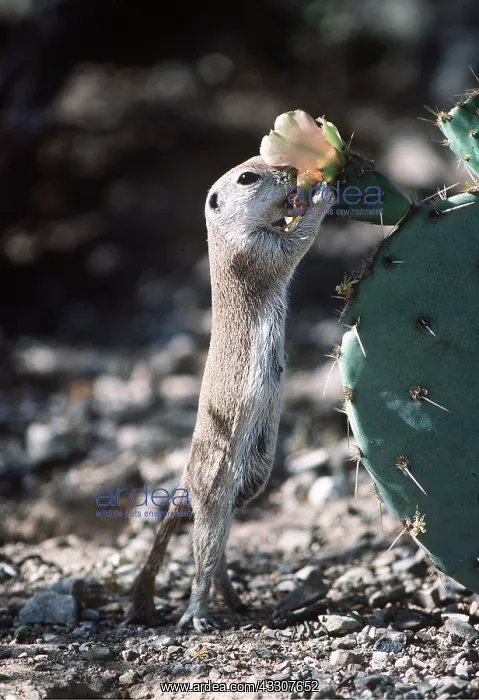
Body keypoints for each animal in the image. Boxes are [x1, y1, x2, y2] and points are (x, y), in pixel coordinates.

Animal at [127, 156, 332, 633]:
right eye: (248, 176)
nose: (292, 170)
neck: (224, 235)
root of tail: (185, 483)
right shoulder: (254, 251)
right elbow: (294, 244)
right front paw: (322, 194)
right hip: (216, 498)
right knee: (203, 556)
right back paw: (197, 614)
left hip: (247, 489)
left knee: (217, 558)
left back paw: (237, 601)